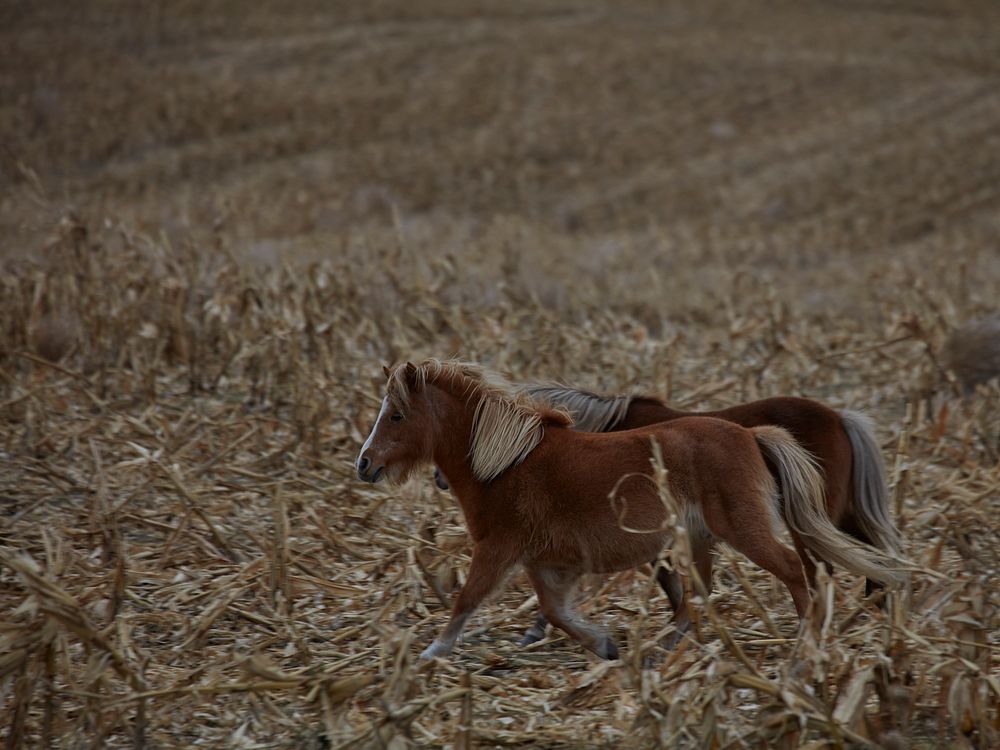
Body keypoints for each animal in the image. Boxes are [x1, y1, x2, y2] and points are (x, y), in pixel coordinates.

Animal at [360, 362, 908, 660]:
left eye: (397, 415)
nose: (364, 464)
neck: (507, 461)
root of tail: (752, 435)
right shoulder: (547, 561)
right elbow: (554, 612)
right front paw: (604, 646)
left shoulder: (498, 550)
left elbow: (466, 601)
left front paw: (430, 654)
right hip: (704, 537)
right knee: (703, 593)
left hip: (747, 528)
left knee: (802, 572)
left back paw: (804, 648)